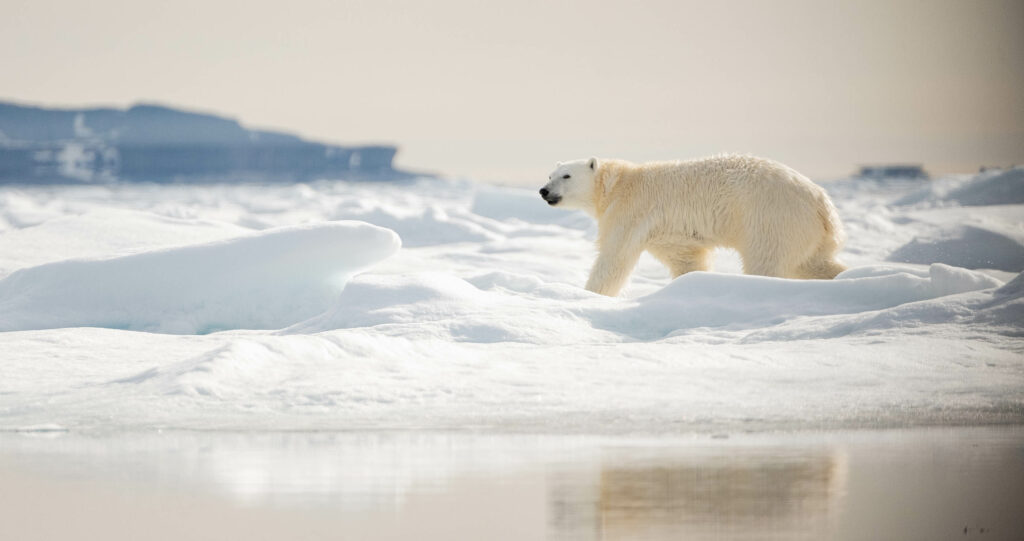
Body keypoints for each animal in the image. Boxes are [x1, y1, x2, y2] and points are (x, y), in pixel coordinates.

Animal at [540, 154, 843, 297]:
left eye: (566, 176)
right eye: (550, 174)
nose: (543, 190)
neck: (617, 185)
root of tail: (822, 202)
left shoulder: (631, 212)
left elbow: (614, 258)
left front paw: (588, 295)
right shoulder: (667, 232)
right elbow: (686, 257)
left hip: (771, 217)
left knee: (767, 260)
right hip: (806, 230)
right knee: (811, 262)